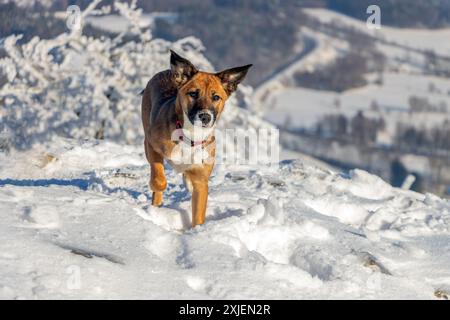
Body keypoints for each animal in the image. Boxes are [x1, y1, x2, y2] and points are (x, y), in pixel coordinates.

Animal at [142, 50, 251, 228]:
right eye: (193, 93)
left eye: (216, 97)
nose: (205, 117)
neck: (190, 136)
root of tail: (166, 71)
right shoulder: (151, 145)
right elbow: (159, 180)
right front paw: (156, 191)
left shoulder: (201, 181)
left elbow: (199, 212)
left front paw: (197, 232)